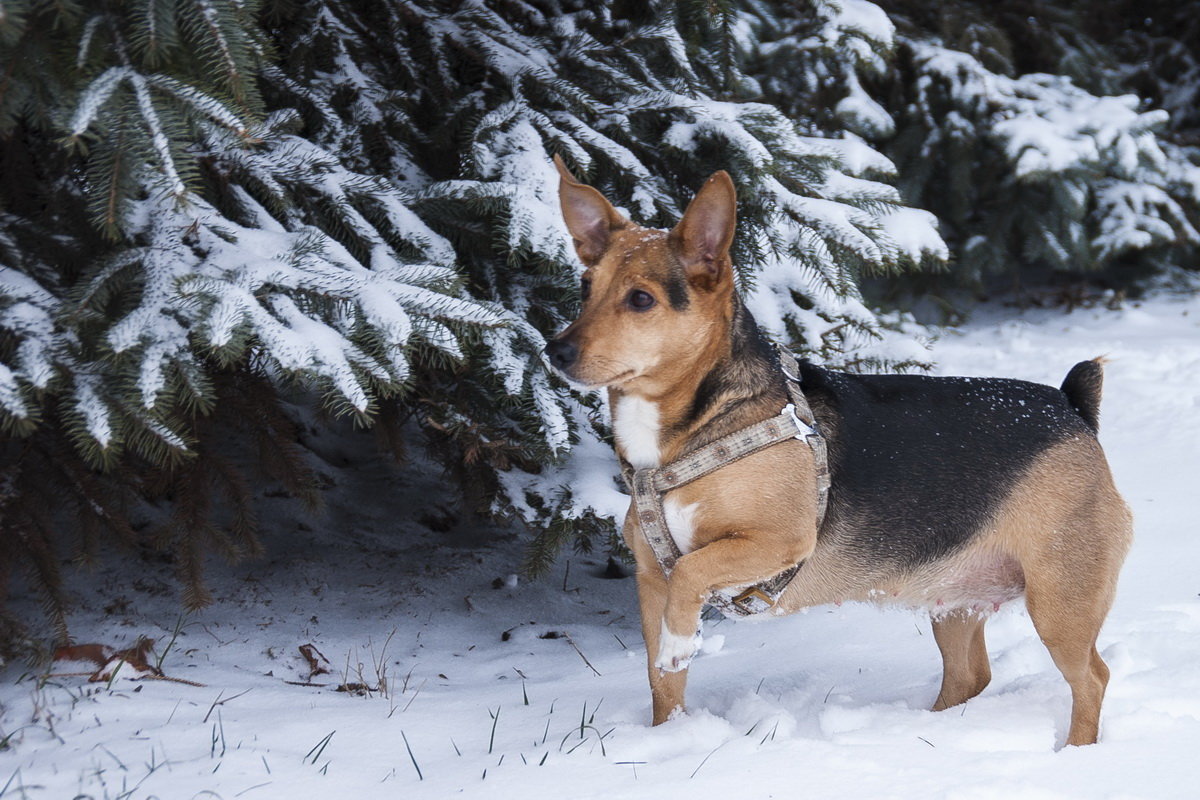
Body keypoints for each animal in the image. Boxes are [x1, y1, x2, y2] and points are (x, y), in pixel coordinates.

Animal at [547, 158, 1132, 753]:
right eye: (584, 287)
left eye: (641, 299)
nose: (555, 351)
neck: (694, 429)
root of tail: (1070, 405)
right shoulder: (650, 579)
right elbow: (662, 684)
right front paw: (667, 737)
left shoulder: (776, 541)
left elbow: (691, 572)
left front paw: (678, 645)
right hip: (955, 599)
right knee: (971, 675)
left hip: (1060, 599)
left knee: (1092, 678)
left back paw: (1075, 751)